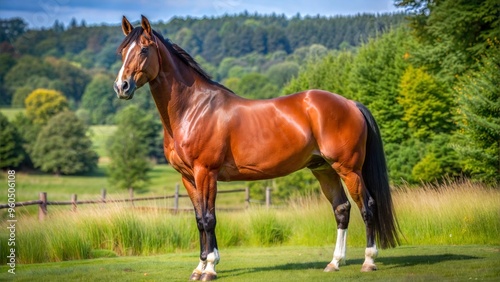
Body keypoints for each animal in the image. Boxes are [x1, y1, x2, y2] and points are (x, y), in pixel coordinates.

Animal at [113, 14, 398, 280]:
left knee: (367, 206)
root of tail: (350, 104)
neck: (193, 109)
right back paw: (334, 262)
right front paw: (200, 266)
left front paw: (210, 268)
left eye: (144, 50)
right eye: (122, 51)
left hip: (348, 169)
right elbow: (199, 220)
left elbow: (209, 219)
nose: (121, 87)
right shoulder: (188, 178)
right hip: (324, 169)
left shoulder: (206, 172)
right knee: (341, 209)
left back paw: (368, 261)